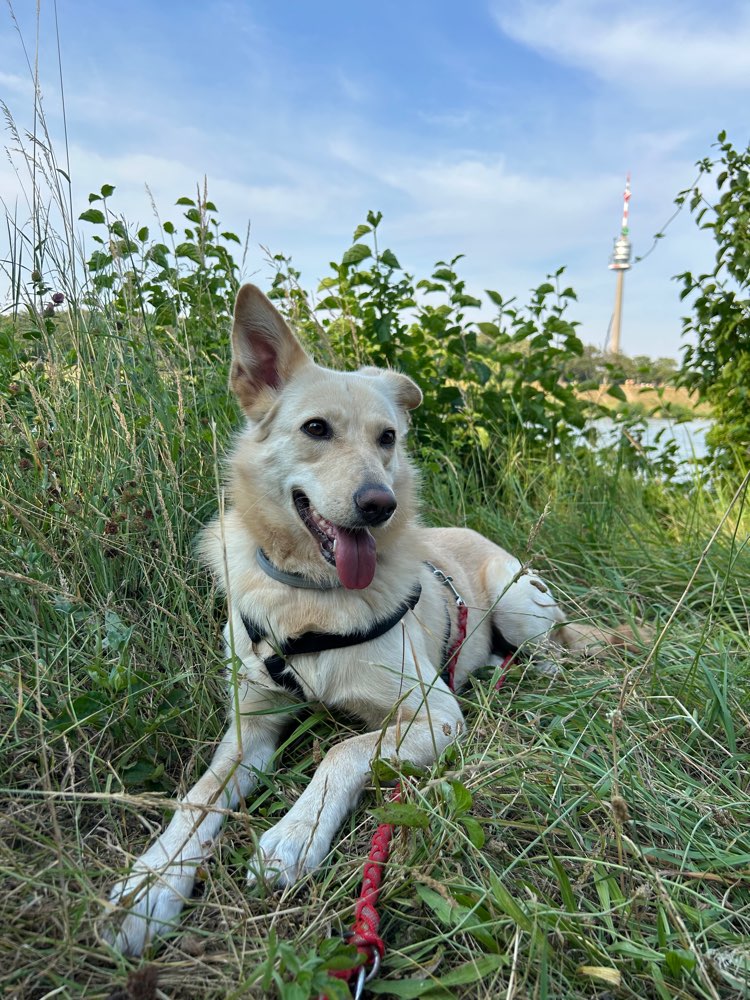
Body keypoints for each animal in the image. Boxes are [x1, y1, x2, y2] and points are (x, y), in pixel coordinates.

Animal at [107, 282, 648, 952]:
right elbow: (199, 799)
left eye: (387, 437)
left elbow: (344, 749)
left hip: (517, 597)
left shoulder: (434, 716)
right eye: (316, 429)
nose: (379, 505)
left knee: (552, 655)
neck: (314, 596)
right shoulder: (248, 730)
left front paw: (293, 837)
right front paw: (149, 887)